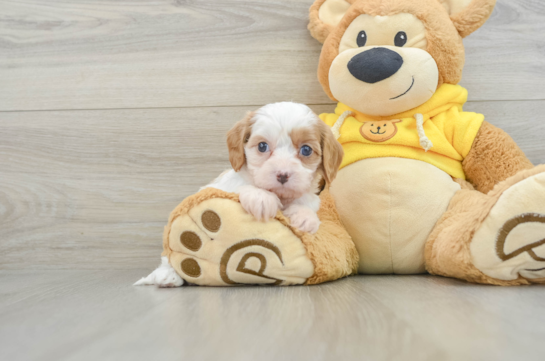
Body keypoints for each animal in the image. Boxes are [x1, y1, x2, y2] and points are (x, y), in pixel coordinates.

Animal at [134, 101, 342, 286]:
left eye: (306, 150)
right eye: (262, 146)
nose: (282, 174)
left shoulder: (308, 194)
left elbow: (308, 200)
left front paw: (304, 217)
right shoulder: (226, 185)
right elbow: (244, 186)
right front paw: (262, 198)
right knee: (167, 257)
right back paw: (167, 276)